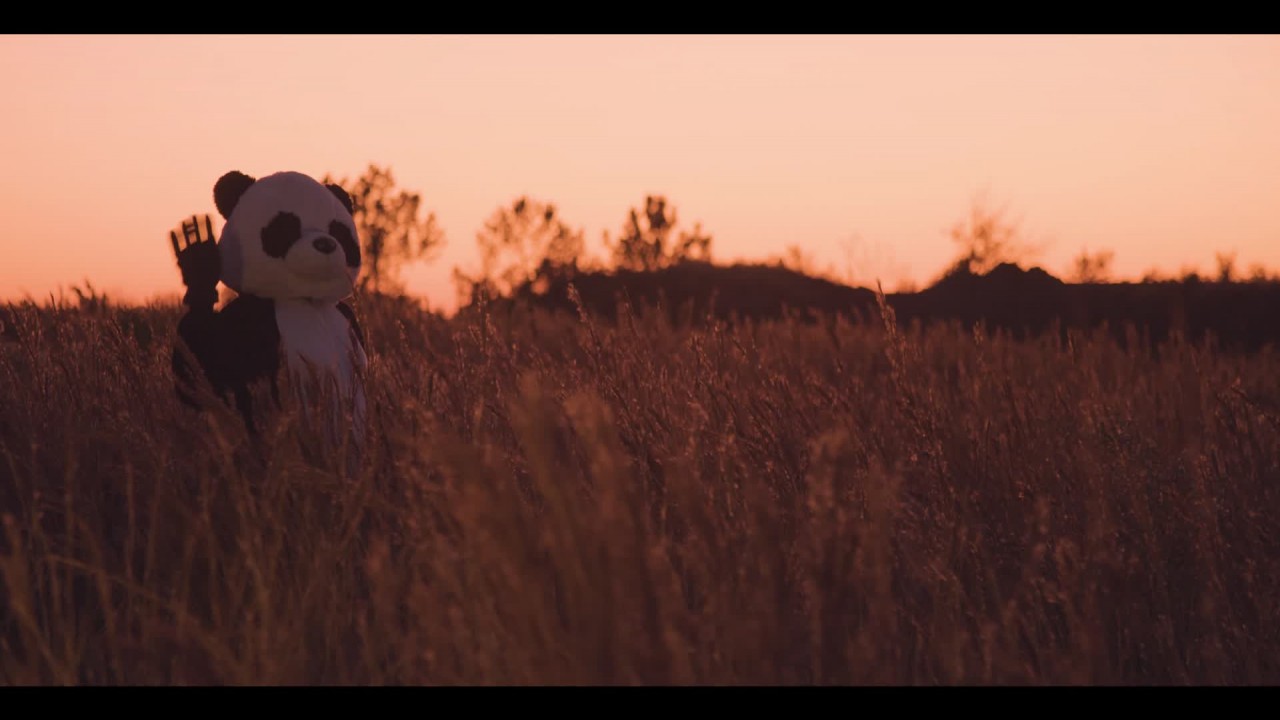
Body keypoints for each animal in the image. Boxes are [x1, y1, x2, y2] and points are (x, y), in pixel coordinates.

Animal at [170, 170, 368, 454]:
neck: (306, 301)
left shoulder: (347, 318)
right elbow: (198, 376)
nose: (325, 243)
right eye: (285, 228)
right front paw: (199, 260)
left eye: (338, 231)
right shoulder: (249, 317)